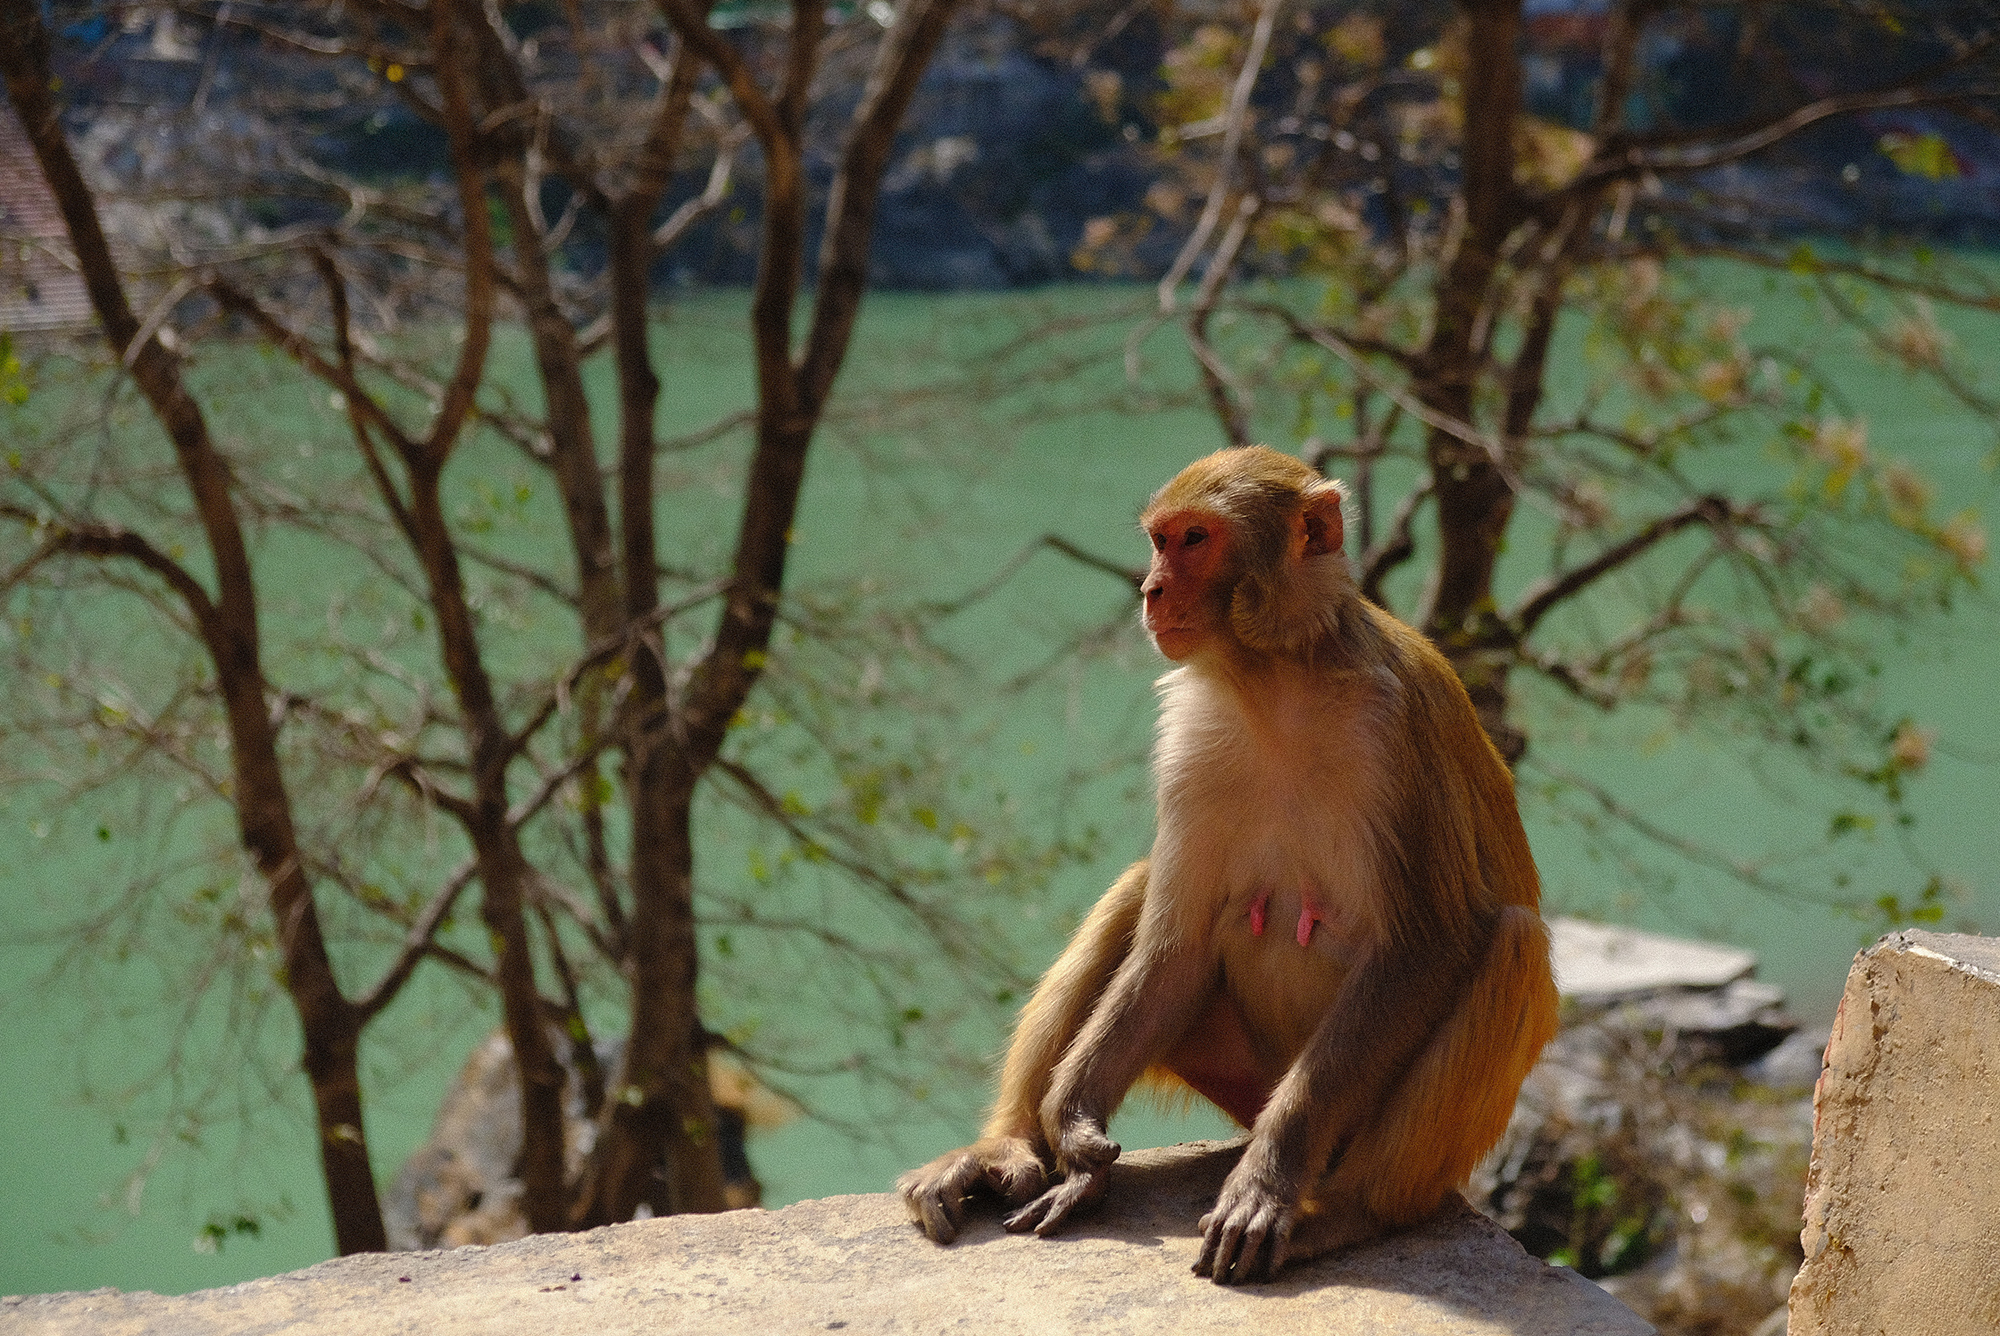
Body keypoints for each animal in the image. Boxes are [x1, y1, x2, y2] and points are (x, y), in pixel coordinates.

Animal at [896, 446, 1560, 1280]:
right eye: (1160, 541)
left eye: (1194, 541)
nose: (1149, 590)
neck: (1274, 679)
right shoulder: (1190, 739)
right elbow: (1174, 946)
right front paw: (1074, 1133)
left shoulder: (1396, 728)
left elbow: (1425, 944)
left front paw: (1264, 1185)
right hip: (1237, 1068)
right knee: (1141, 891)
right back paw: (1008, 1147)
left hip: (1351, 1126)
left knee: (1511, 943)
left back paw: (1347, 1212)